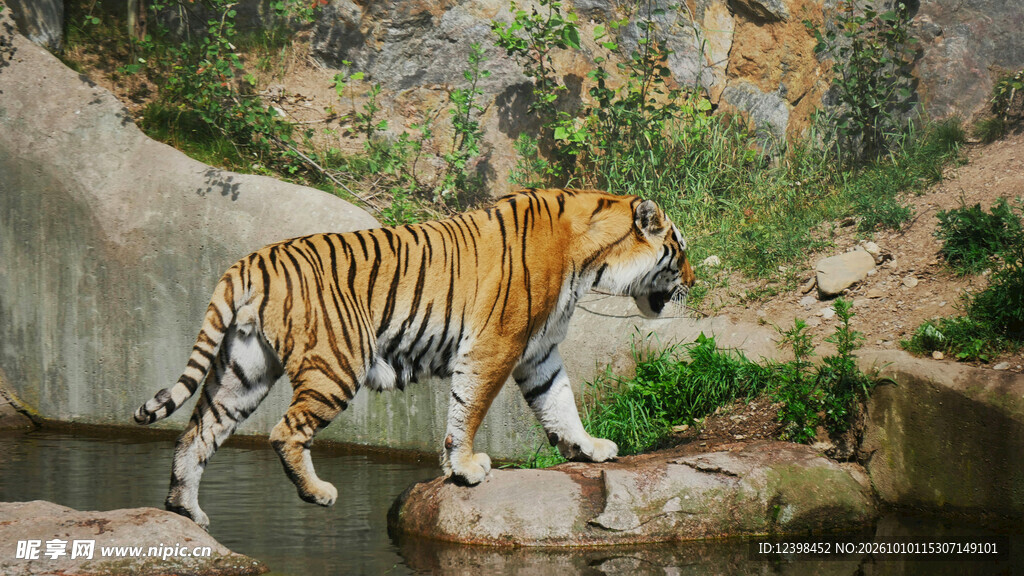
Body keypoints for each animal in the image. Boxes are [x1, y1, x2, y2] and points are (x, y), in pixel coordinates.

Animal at [134, 188, 695, 529]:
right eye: (680, 249)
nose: (693, 281)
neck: (590, 261)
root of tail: (251, 259)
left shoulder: (539, 353)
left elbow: (560, 402)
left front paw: (588, 449)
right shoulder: (497, 345)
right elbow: (469, 408)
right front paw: (466, 468)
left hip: (242, 371)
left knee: (195, 434)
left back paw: (185, 513)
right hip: (337, 363)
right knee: (284, 431)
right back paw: (318, 493)